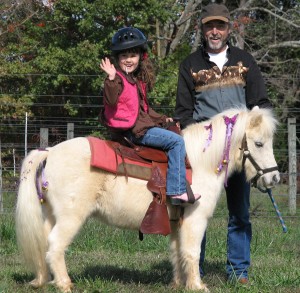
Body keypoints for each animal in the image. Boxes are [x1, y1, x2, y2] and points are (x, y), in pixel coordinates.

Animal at [15, 106, 278, 290]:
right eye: (258, 143)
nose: (274, 177)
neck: (198, 163)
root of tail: (49, 152)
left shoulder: (176, 223)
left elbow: (177, 252)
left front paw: (178, 284)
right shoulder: (196, 220)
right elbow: (192, 251)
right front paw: (197, 286)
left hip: (49, 216)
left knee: (43, 245)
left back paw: (44, 280)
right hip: (71, 218)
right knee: (55, 246)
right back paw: (64, 284)